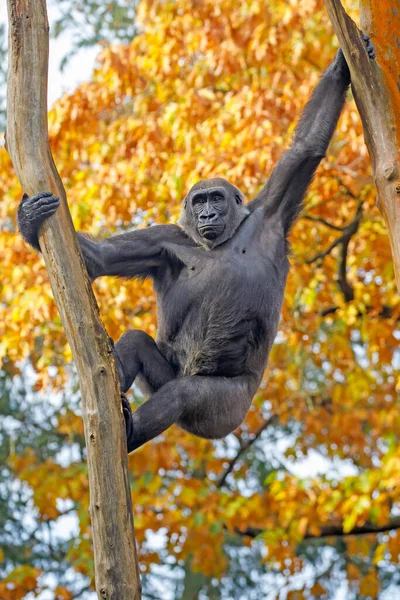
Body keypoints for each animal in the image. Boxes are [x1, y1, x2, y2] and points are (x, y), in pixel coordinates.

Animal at [17, 42, 376, 452]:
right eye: (199, 201)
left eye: (216, 198)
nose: (206, 214)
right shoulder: (163, 240)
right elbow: (101, 260)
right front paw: (28, 220)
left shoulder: (271, 211)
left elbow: (307, 148)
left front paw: (341, 66)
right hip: (171, 379)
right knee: (140, 346)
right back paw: (118, 389)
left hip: (227, 409)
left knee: (184, 394)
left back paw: (131, 430)